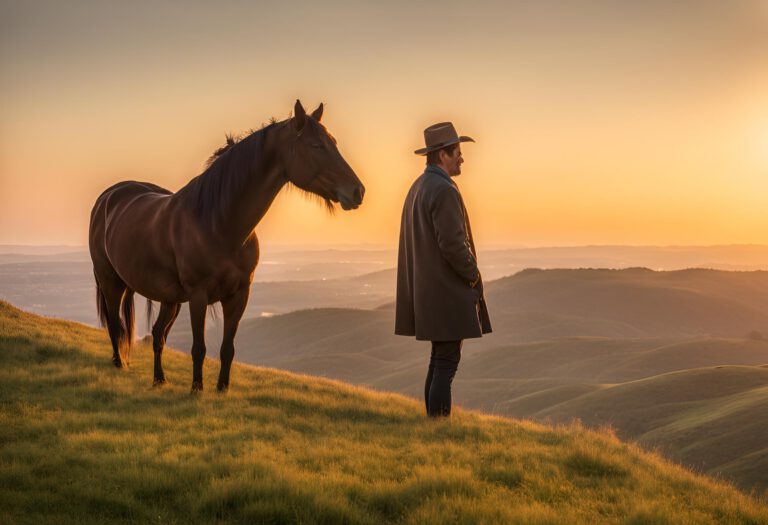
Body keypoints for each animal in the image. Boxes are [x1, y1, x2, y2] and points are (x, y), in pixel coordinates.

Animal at [88, 101, 364, 388]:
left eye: (333, 142)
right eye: (316, 146)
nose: (358, 191)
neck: (218, 223)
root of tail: (109, 196)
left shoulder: (239, 295)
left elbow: (227, 349)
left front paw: (222, 389)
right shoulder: (198, 296)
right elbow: (199, 348)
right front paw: (196, 390)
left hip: (170, 298)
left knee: (157, 334)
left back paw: (159, 379)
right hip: (111, 282)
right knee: (115, 324)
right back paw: (119, 364)